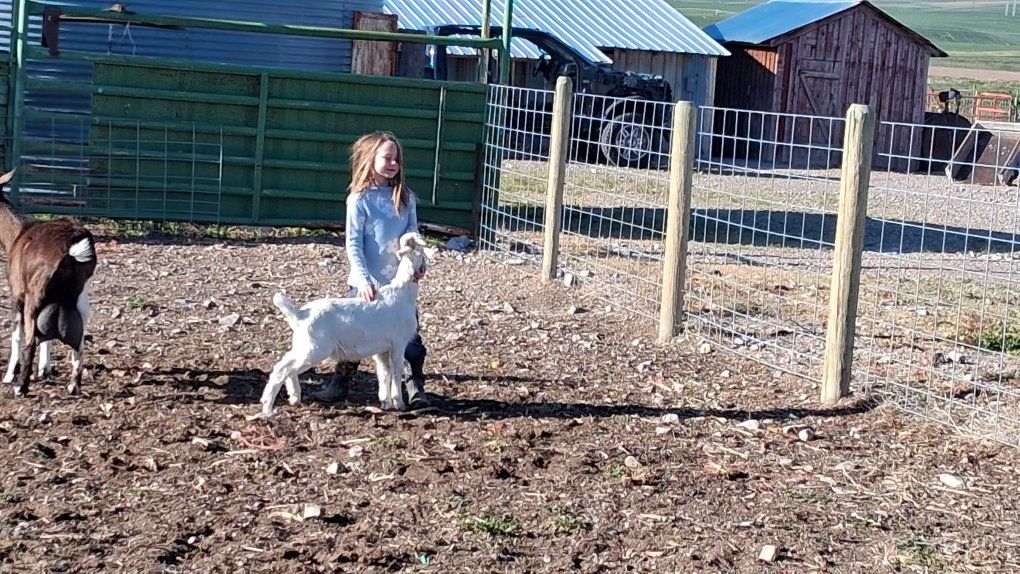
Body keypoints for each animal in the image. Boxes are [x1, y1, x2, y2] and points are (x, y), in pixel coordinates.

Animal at [0, 170, 97, 396]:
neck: (17, 233)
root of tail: (72, 248)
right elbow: (48, 336)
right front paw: (45, 369)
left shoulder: (17, 294)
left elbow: (17, 334)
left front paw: (9, 375)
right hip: (81, 299)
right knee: (80, 343)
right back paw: (73, 385)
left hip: (34, 297)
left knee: (30, 341)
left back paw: (21, 387)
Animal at [260, 232, 430, 416]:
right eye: (421, 250)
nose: (426, 263)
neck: (402, 293)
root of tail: (300, 314)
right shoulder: (398, 344)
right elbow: (397, 371)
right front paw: (399, 403)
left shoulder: (382, 350)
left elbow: (384, 373)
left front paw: (386, 403)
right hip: (314, 349)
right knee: (281, 370)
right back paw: (268, 408)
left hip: (303, 347)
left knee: (287, 367)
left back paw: (294, 398)